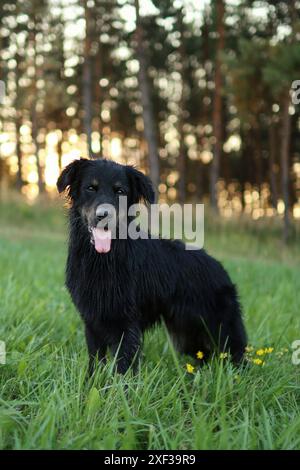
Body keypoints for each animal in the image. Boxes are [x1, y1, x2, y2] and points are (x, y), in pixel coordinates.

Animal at [57, 158, 247, 374]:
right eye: (91, 188)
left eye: (120, 191)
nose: (104, 216)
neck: (104, 259)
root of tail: (221, 270)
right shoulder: (93, 321)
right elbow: (95, 362)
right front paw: (92, 381)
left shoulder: (126, 325)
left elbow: (123, 366)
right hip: (188, 333)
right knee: (204, 355)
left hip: (222, 330)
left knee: (237, 356)